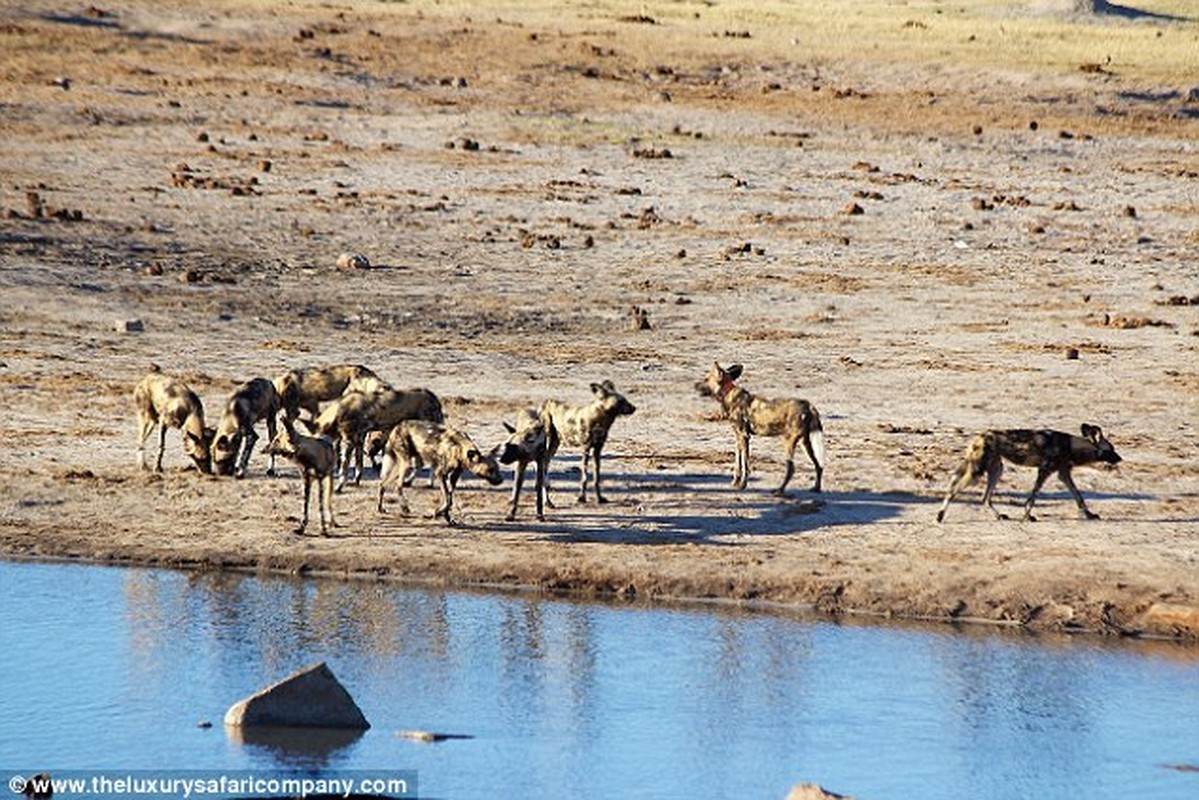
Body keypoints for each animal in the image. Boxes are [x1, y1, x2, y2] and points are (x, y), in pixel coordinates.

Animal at [695, 362, 824, 494]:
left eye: (706, 379)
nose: (695, 385)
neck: (729, 393)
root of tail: (808, 405)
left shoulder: (744, 436)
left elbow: (745, 464)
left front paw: (742, 484)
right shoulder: (738, 438)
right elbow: (738, 462)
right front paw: (735, 482)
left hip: (789, 441)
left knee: (791, 468)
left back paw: (779, 491)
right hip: (805, 443)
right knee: (819, 465)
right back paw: (816, 488)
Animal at [935, 424, 1122, 525]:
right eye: (1111, 450)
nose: (1120, 458)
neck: (1071, 445)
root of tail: (979, 436)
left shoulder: (1063, 474)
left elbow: (1079, 497)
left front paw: (1090, 515)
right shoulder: (1044, 471)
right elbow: (1032, 497)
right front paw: (1027, 515)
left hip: (996, 469)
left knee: (985, 498)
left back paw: (999, 516)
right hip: (977, 471)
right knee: (953, 490)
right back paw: (940, 515)